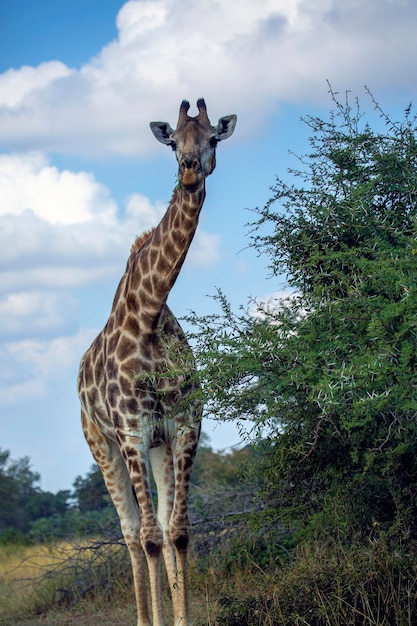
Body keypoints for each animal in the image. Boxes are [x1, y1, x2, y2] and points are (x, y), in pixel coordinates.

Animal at [76, 98, 236, 624]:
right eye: (172, 142)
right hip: (101, 445)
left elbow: (178, 531)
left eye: (211, 138)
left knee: (161, 529)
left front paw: (184, 619)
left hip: (158, 447)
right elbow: (147, 537)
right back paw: (144, 616)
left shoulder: (183, 427)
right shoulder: (131, 432)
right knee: (130, 535)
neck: (149, 313)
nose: (188, 169)